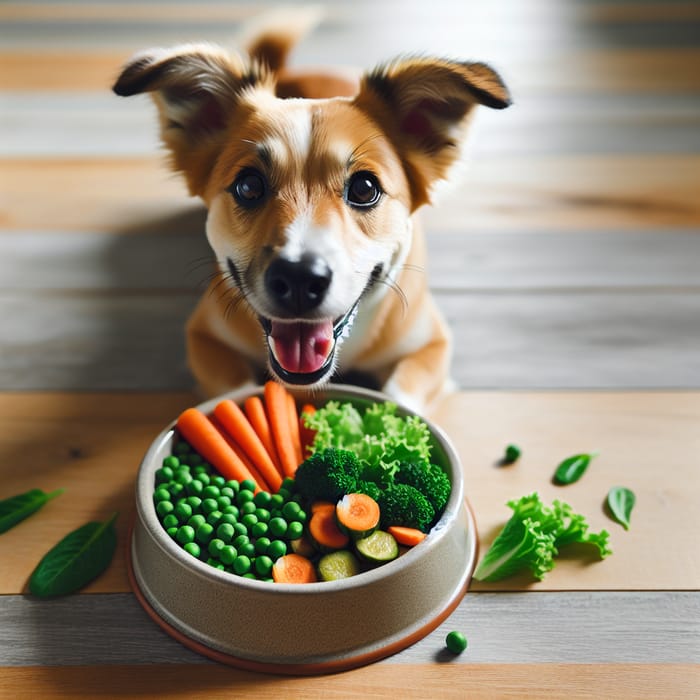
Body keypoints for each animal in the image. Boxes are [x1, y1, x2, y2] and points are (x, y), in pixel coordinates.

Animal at [112, 15, 512, 410]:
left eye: (365, 188)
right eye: (248, 185)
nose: (299, 281)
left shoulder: (432, 344)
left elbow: (402, 393)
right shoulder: (204, 336)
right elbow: (233, 391)